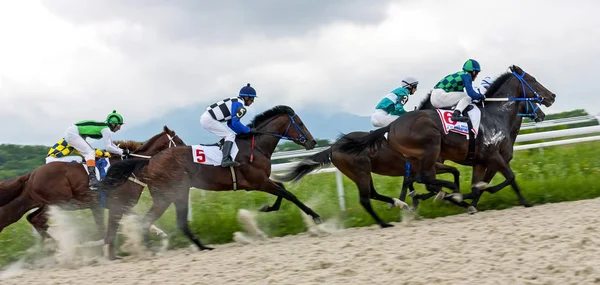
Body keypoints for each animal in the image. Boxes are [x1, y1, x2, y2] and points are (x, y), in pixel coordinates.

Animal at [0, 125, 185, 241]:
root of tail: (32, 174)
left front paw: (162, 234)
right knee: (37, 219)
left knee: (22, 217)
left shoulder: (117, 205)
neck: (129, 169)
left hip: (36, 202)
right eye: (179, 141)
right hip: (59, 201)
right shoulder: (112, 204)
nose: (187, 152)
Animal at [97, 104, 328, 255]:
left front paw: (267, 208)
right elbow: (288, 193)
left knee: (179, 222)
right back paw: (151, 250)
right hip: (167, 195)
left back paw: (202, 246)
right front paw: (317, 217)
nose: (312, 142)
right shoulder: (259, 182)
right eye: (299, 123)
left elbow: (282, 190)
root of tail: (150, 161)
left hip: (178, 193)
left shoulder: (262, 181)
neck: (255, 146)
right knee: (147, 221)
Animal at [336, 65, 556, 210]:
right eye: (533, 80)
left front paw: (468, 201)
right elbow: (509, 177)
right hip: (430, 149)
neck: (496, 116)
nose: (551, 97)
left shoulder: (481, 161)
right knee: (424, 179)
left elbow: (478, 185)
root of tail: (392, 125)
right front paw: (525, 202)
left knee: (420, 180)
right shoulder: (493, 156)